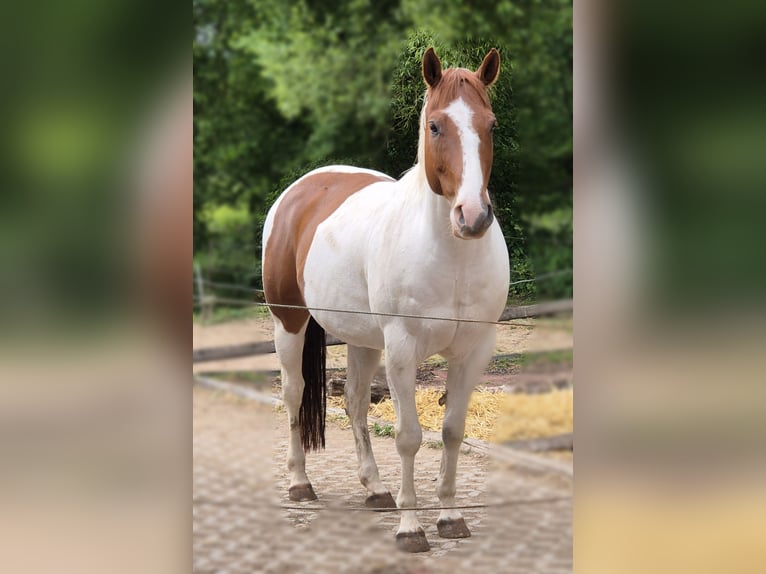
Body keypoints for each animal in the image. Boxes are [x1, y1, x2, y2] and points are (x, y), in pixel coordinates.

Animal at [262, 47, 510, 553]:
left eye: (491, 125)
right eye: (435, 125)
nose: (472, 217)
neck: (452, 255)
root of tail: (300, 190)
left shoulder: (474, 352)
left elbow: (451, 432)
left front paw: (450, 518)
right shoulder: (401, 350)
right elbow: (409, 436)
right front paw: (411, 528)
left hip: (362, 342)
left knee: (355, 403)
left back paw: (376, 490)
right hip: (289, 325)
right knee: (294, 395)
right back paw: (300, 484)